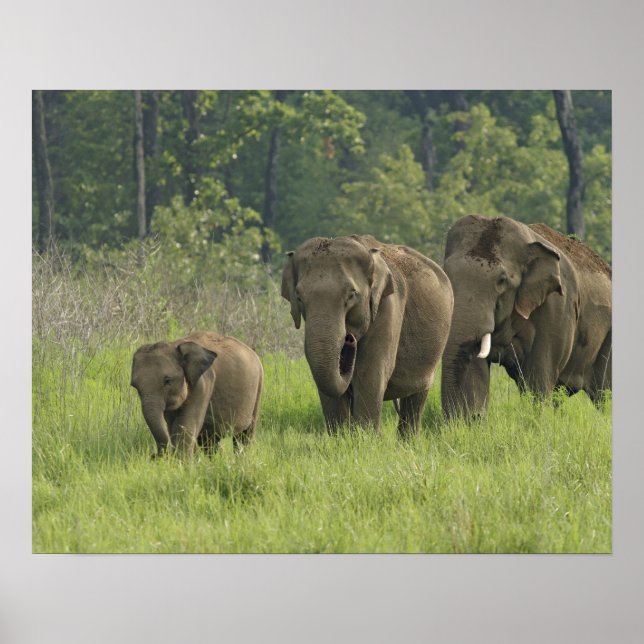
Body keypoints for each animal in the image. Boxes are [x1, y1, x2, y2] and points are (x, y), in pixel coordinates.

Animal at [131, 331, 263, 458]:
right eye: (135, 386)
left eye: (167, 381)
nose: (154, 455)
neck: (175, 345)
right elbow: (173, 426)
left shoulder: (203, 384)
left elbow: (186, 426)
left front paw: (182, 462)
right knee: (210, 439)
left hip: (258, 387)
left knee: (245, 435)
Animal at [281, 234, 453, 435]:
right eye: (299, 297)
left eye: (351, 295)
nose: (349, 340)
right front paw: (342, 437)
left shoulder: (388, 307)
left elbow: (370, 373)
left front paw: (365, 438)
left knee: (416, 397)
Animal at [441, 214, 612, 418]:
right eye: (445, 272)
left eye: (502, 280)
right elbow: (476, 368)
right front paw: (468, 420)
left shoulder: (557, 306)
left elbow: (538, 374)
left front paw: (538, 420)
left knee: (604, 393)